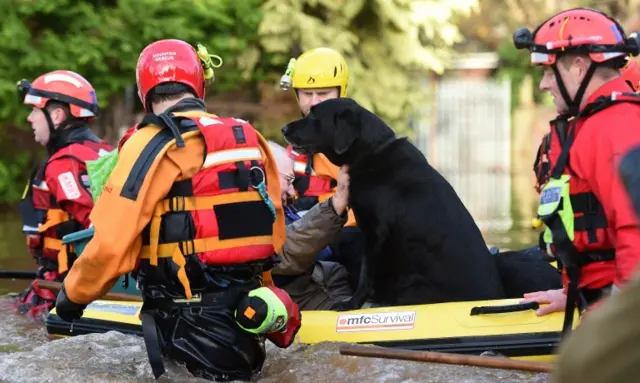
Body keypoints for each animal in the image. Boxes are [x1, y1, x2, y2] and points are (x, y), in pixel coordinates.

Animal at [282, 99, 508, 308]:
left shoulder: (374, 233)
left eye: (313, 115)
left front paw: (352, 303)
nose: (283, 129)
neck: (371, 153)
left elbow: (366, 275)